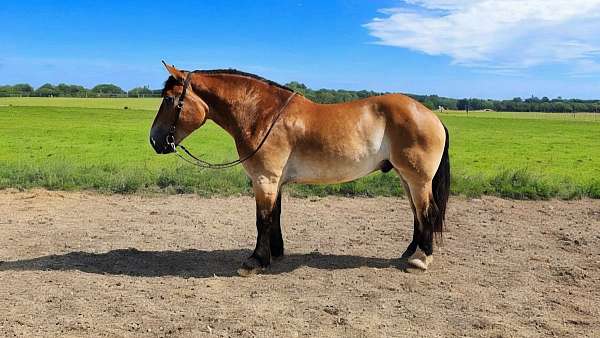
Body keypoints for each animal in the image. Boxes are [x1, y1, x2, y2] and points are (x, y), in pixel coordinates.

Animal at [150, 62, 450, 276]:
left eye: (168, 99)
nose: (154, 140)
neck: (262, 114)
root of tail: (431, 116)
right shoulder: (275, 182)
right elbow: (275, 216)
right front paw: (274, 253)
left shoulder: (265, 180)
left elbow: (263, 219)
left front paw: (255, 261)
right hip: (406, 178)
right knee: (417, 214)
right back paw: (409, 253)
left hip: (418, 180)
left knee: (427, 212)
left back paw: (421, 259)